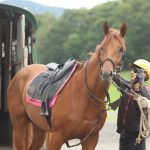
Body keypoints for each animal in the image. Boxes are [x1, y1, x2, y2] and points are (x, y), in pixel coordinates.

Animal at [7, 21, 126, 150]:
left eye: (121, 49)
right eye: (102, 48)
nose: (106, 73)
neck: (85, 96)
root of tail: (20, 73)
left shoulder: (91, 139)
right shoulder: (56, 138)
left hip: (39, 129)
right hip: (19, 126)